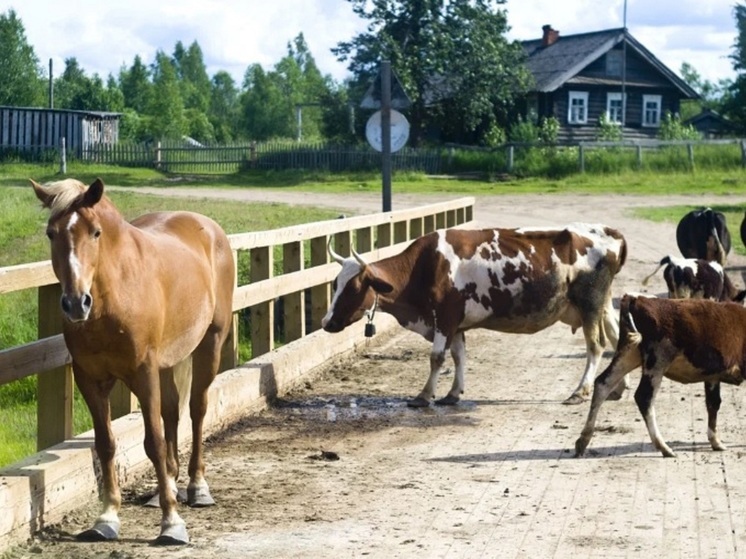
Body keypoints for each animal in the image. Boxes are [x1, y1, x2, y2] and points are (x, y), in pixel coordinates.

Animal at [32, 179, 234, 548]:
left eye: (96, 232)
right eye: (51, 233)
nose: (76, 303)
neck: (112, 298)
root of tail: (208, 227)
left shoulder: (143, 374)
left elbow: (152, 442)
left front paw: (171, 523)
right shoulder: (90, 379)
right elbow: (106, 444)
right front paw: (107, 518)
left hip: (209, 345)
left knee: (197, 409)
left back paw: (197, 487)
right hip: (167, 364)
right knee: (172, 412)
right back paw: (165, 487)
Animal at [322, 223, 624, 406]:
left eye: (354, 288)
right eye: (335, 284)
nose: (327, 322)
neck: (425, 265)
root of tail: (609, 232)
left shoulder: (444, 317)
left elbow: (437, 357)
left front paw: (424, 395)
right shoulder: (456, 324)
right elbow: (459, 356)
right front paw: (453, 393)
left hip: (590, 305)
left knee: (596, 346)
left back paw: (580, 391)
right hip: (604, 305)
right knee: (617, 335)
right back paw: (616, 388)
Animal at [576, 296, 744, 458]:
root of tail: (636, 299)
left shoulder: (712, 376)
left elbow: (713, 404)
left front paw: (715, 441)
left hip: (628, 355)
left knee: (602, 384)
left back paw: (583, 440)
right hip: (656, 362)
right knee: (644, 398)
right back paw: (664, 447)